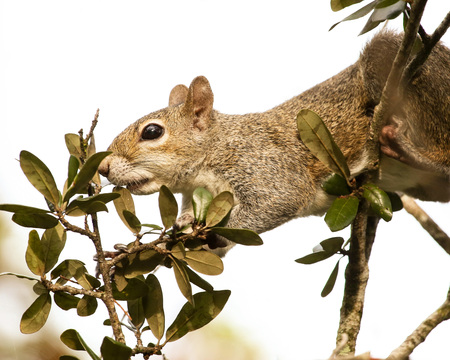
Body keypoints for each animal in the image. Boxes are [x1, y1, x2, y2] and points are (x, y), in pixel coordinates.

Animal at [99, 31, 450, 256]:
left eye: (152, 132)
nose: (102, 167)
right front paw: (174, 232)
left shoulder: (265, 165)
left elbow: (279, 200)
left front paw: (210, 232)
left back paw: (407, 148)